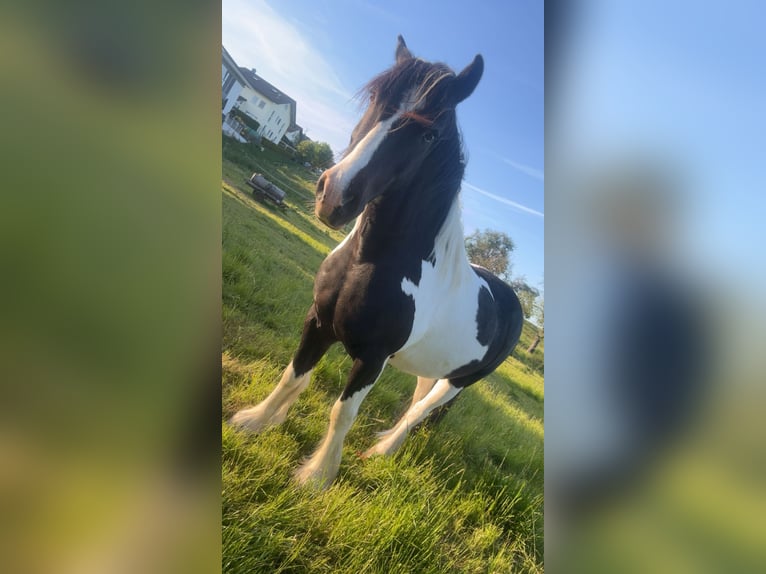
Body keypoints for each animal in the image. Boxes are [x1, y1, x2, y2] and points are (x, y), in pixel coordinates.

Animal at [230, 36, 524, 488]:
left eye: (429, 134)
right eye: (375, 98)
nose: (334, 196)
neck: (368, 262)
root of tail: (512, 301)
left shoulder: (373, 358)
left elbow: (342, 412)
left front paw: (317, 476)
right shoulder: (318, 321)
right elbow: (292, 376)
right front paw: (254, 421)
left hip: (460, 379)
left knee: (421, 410)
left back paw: (382, 451)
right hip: (437, 367)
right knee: (419, 401)